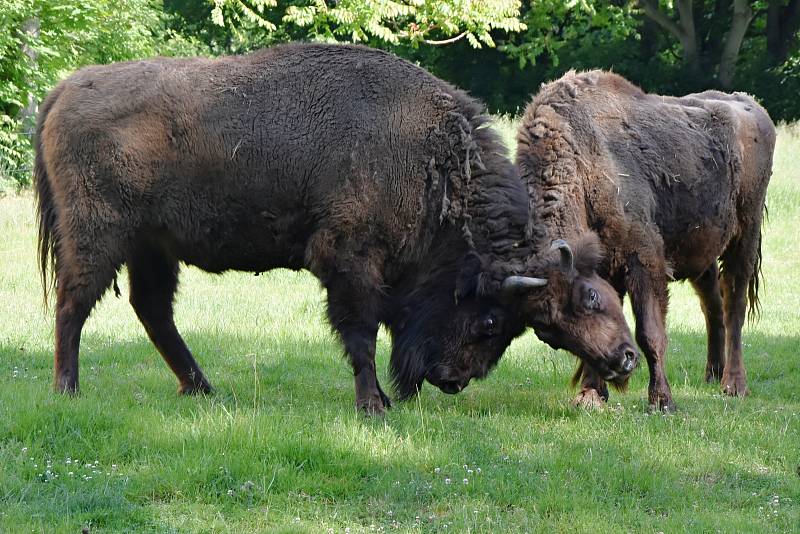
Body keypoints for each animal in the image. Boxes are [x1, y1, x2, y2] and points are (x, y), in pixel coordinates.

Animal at [34, 44, 536, 416]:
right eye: (490, 321)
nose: (454, 380)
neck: (434, 163)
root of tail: (66, 88)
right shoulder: (349, 261)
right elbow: (362, 333)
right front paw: (373, 406)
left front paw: (381, 400)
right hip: (98, 237)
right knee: (73, 303)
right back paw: (68, 389)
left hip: (152, 246)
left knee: (152, 310)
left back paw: (202, 388)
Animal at [516, 71, 772, 412]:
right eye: (548, 334)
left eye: (590, 298)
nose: (620, 364)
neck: (582, 166)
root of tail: (754, 109)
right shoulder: (609, 269)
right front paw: (590, 395)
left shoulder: (644, 261)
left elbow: (650, 332)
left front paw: (662, 402)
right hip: (701, 253)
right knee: (712, 304)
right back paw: (712, 375)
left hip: (745, 235)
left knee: (735, 304)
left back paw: (734, 385)